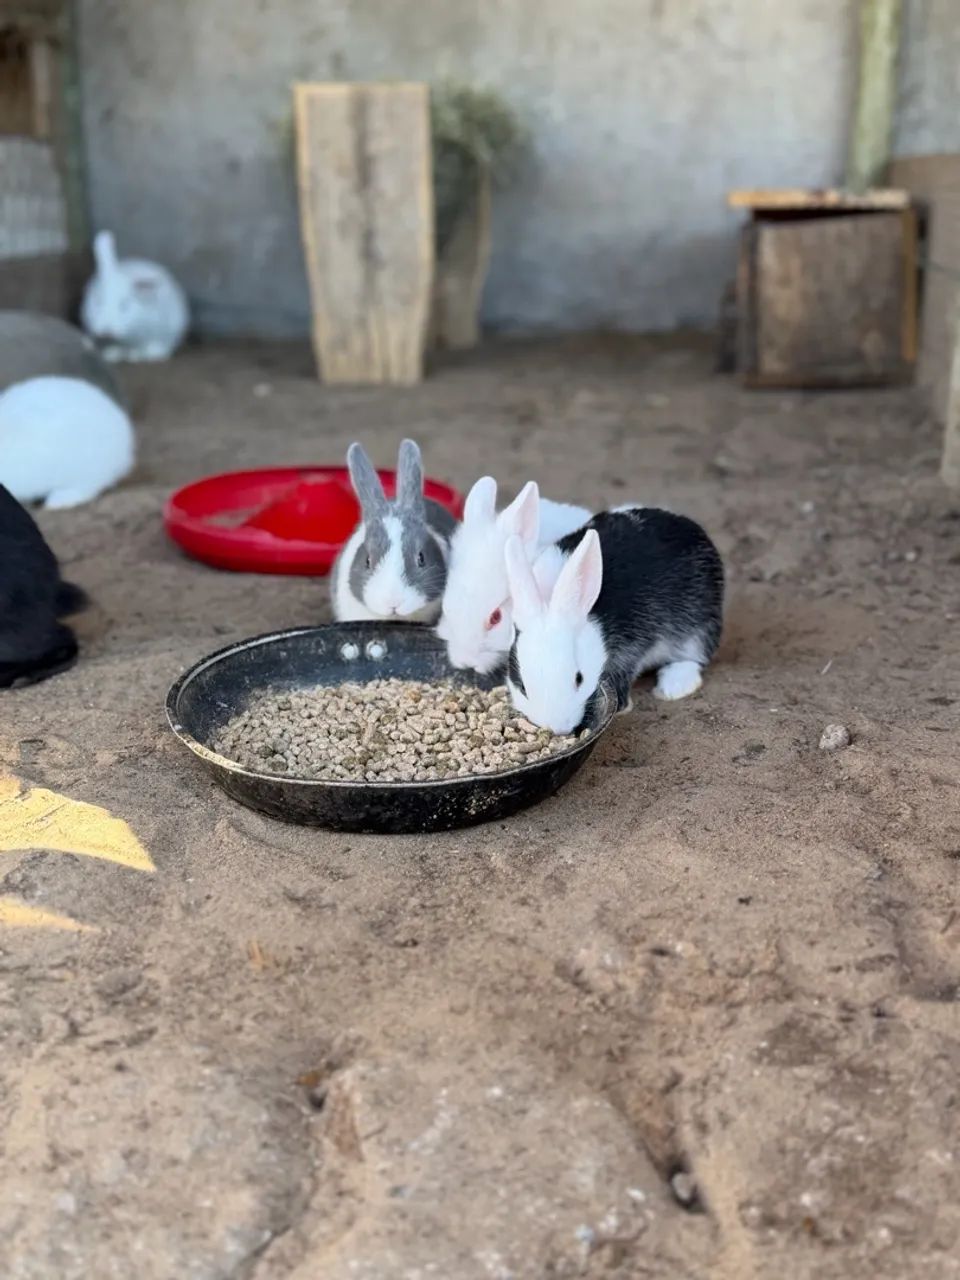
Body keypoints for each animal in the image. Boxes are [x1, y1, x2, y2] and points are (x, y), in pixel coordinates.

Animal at [503, 505, 724, 735]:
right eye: (522, 686)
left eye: (579, 678)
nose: (559, 729)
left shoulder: (632, 646)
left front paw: (622, 708)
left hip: (699, 625)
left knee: (694, 658)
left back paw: (673, 687)